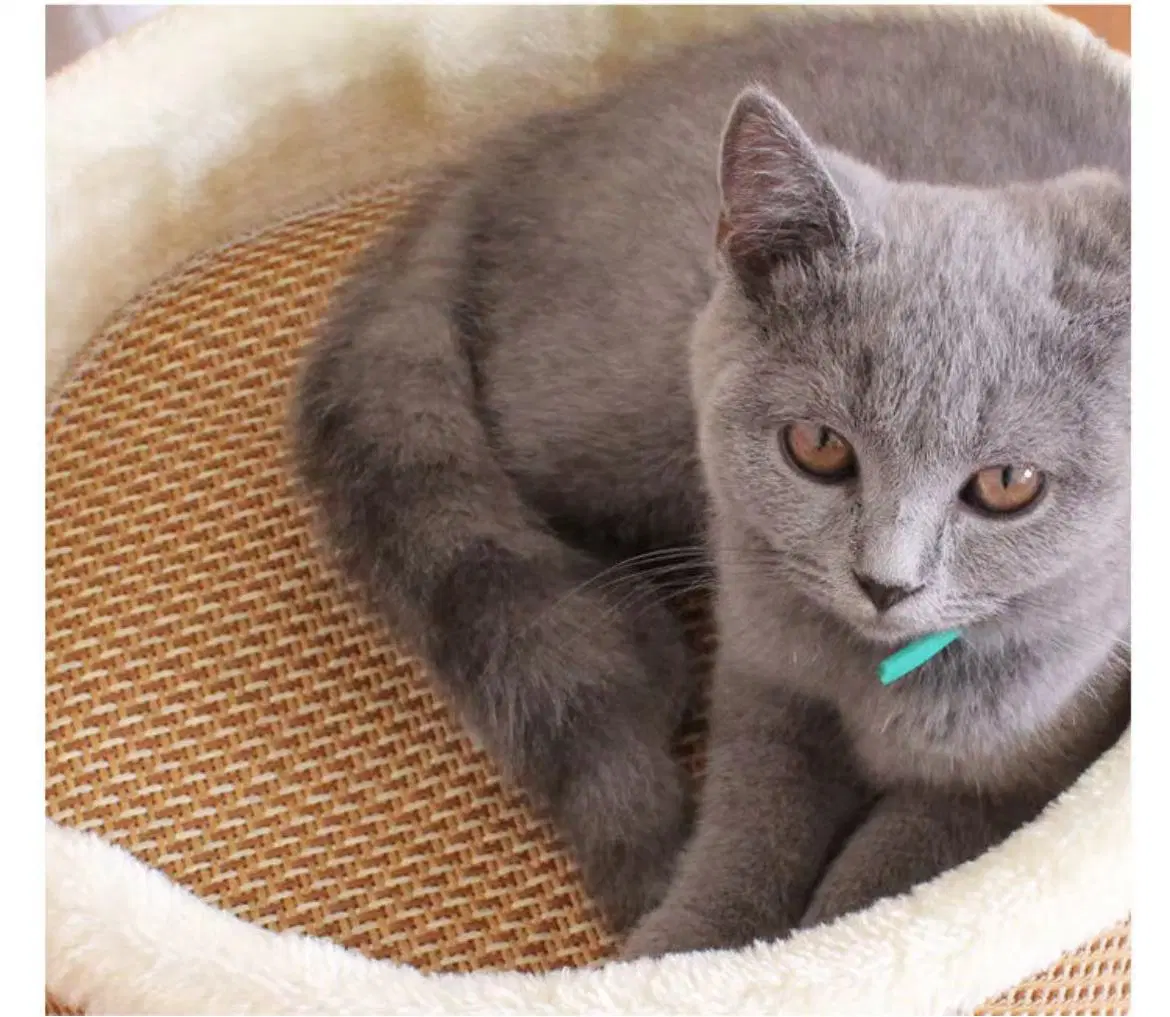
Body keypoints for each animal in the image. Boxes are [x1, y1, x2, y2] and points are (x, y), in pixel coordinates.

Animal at [290, 7, 1123, 954]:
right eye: (818, 445)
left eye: (1009, 483)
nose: (885, 581)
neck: (864, 670)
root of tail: (526, 147)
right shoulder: (763, 679)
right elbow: (749, 819)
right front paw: (695, 946)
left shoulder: (1021, 767)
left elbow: (893, 874)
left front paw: (823, 942)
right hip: (626, 420)